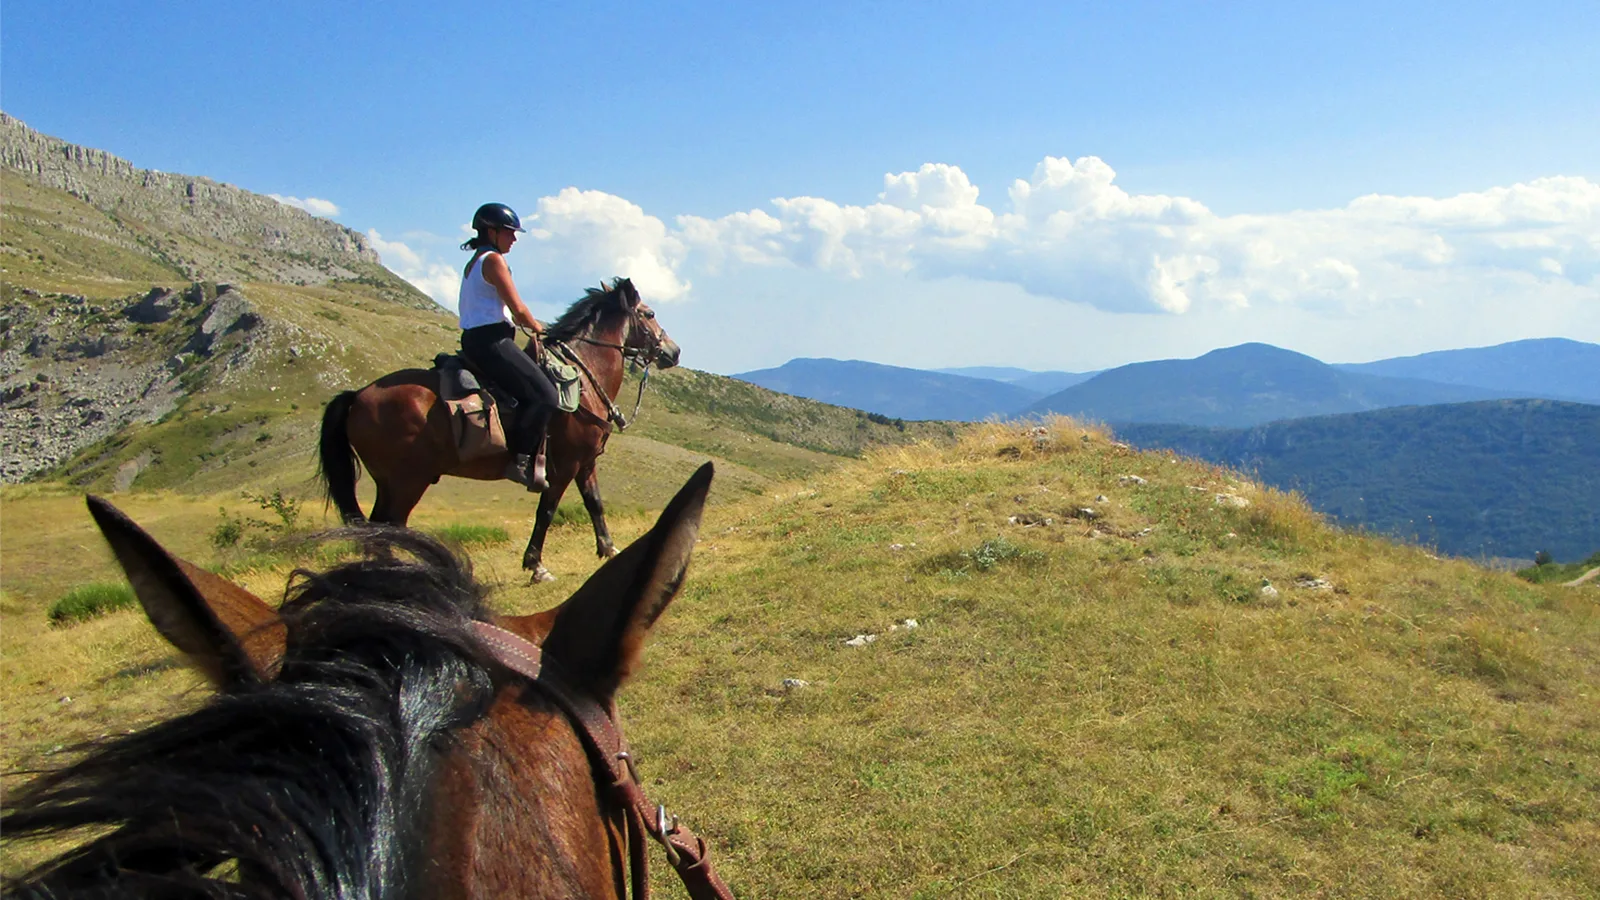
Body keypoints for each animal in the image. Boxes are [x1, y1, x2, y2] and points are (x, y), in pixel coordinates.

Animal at [318, 275, 681, 582]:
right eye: (649, 313)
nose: (673, 351)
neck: (580, 380)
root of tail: (358, 395)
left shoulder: (585, 462)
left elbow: (595, 504)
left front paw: (609, 550)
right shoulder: (564, 466)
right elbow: (546, 511)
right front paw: (536, 566)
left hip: (391, 483)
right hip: (406, 481)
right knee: (387, 526)